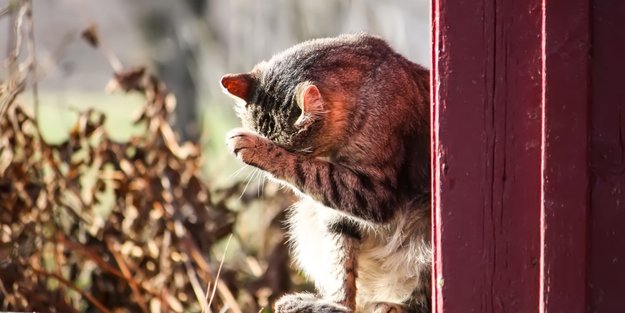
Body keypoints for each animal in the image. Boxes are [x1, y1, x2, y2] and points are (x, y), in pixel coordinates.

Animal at [222, 33, 432, 312]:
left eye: (296, 150)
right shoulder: (337, 215)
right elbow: (341, 266)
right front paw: (337, 304)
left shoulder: (373, 192)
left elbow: (307, 169)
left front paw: (259, 150)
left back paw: (392, 306)